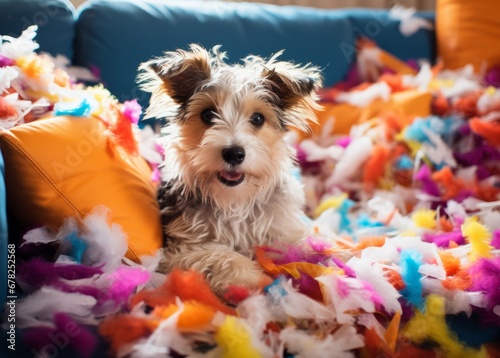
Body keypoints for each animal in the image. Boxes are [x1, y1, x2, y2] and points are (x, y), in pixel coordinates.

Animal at [139, 44, 322, 296]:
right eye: (207, 115)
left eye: (258, 118)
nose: (234, 153)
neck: (235, 202)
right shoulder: (178, 250)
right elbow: (219, 254)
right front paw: (250, 280)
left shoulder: (282, 229)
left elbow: (303, 247)